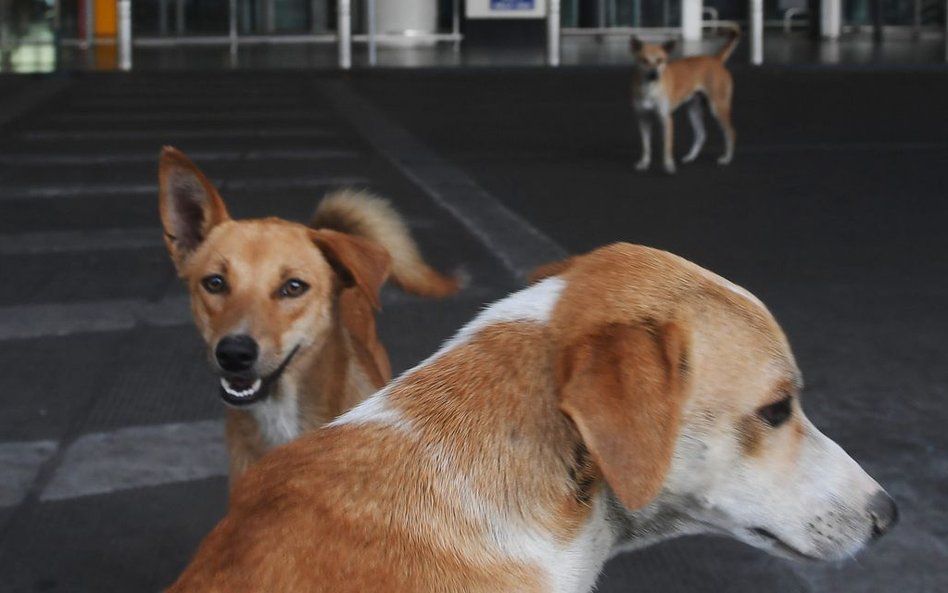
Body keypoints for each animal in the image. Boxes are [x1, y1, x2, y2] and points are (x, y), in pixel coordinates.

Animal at [632, 28, 744, 173]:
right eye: (644, 60)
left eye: (660, 60)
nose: (654, 75)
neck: (649, 89)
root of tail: (716, 60)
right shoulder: (643, 119)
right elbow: (646, 146)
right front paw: (644, 163)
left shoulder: (666, 120)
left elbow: (667, 146)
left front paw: (668, 165)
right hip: (693, 111)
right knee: (701, 135)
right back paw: (690, 157)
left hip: (718, 108)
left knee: (731, 133)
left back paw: (726, 158)